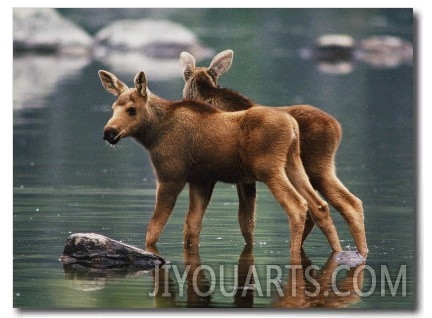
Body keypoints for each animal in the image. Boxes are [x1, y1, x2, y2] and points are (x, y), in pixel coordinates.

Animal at [99, 68, 342, 258]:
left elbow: (153, 230)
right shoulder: (201, 181)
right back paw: (339, 251)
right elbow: (191, 229)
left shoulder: (170, 177)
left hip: (270, 169)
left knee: (298, 206)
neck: (153, 134)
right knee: (320, 205)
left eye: (132, 110)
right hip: (294, 165)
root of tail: (292, 126)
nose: (108, 132)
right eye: (113, 108)